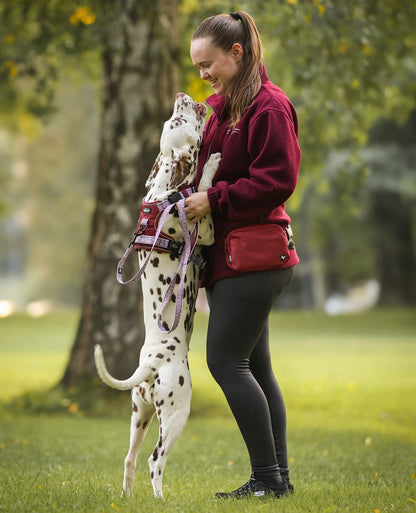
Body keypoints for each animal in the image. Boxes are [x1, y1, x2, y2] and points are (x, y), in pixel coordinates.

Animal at [92, 92, 219, 496]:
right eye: (178, 122)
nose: (182, 96)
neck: (165, 192)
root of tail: (150, 365)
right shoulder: (204, 227)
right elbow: (204, 188)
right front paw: (212, 164)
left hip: (140, 416)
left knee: (130, 458)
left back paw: (127, 496)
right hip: (176, 413)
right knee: (154, 461)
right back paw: (161, 498)